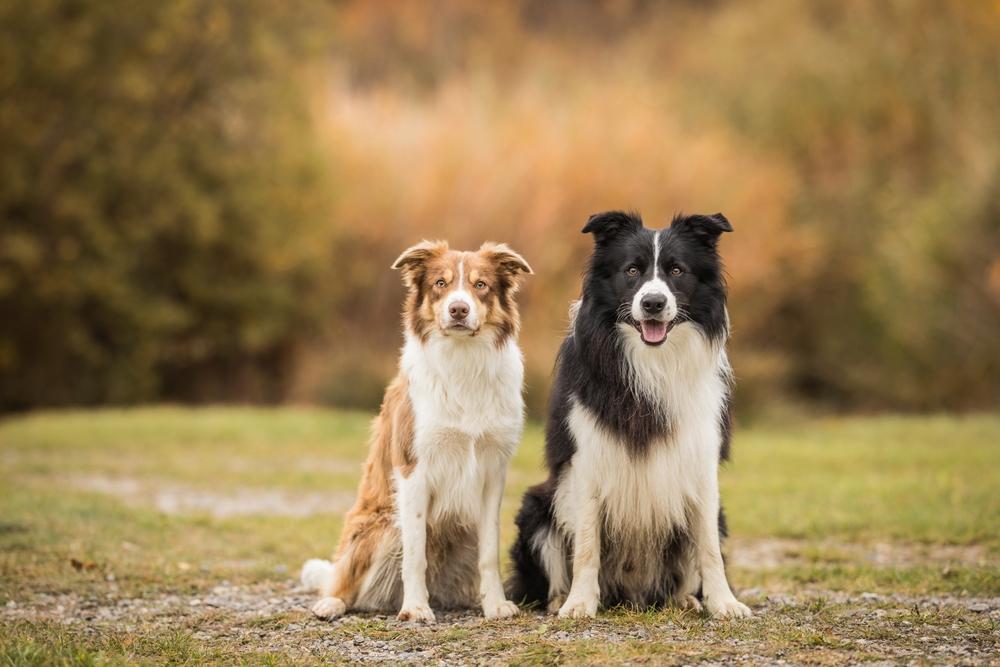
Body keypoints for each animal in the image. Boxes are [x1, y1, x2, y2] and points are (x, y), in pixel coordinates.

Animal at [300, 243, 536, 624]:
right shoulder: (413, 470)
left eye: (480, 285)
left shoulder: (493, 472)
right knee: (343, 580)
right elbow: (415, 553)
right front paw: (415, 608)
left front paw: (495, 604)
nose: (458, 309)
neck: (463, 360)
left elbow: (489, 552)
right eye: (441, 283)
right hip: (380, 528)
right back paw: (332, 603)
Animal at [508, 211, 752, 620]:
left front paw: (724, 603)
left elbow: (708, 548)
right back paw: (560, 599)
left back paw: (685, 599)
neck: (653, 361)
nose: (653, 303)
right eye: (632, 270)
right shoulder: (586, 459)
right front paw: (579, 603)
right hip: (537, 507)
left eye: (676, 270)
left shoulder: (700, 459)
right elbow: (586, 545)